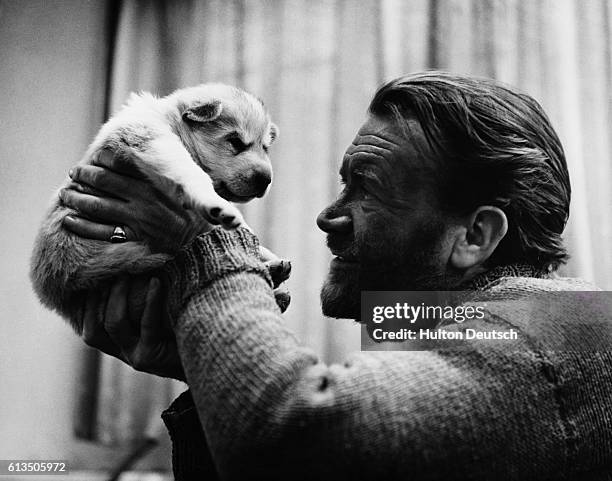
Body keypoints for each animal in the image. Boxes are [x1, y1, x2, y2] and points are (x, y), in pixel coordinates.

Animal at [29, 83, 278, 330]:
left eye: (265, 147)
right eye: (235, 142)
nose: (266, 180)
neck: (171, 121)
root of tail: (55, 298)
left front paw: (263, 251)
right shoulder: (152, 140)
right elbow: (190, 171)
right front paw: (218, 206)